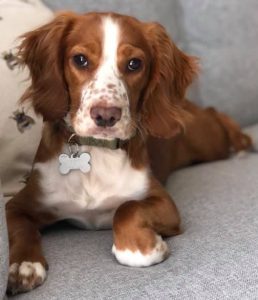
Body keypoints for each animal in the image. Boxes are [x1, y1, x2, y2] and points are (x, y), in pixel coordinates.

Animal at [6, 12, 252, 296]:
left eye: (135, 64)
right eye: (80, 59)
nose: (106, 116)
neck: (97, 152)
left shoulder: (163, 202)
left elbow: (127, 208)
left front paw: (140, 249)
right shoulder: (20, 203)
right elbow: (21, 230)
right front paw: (24, 266)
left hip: (208, 141)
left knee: (214, 113)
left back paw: (242, 143)